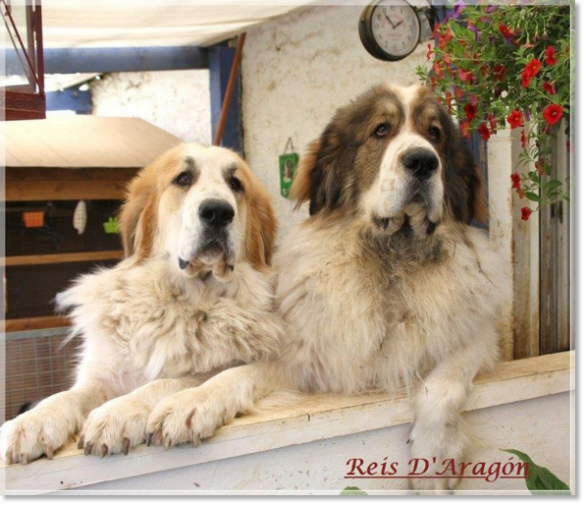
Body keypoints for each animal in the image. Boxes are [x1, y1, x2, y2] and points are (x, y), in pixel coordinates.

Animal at [0, 144, 282, 464]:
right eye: (183, 178)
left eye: (236, 184)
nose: (218, 212)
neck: (184, 301)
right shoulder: (103, 375)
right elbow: (71, 394)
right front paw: (33, 421)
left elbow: (178, 380)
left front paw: (122, 411)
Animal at [124, 85, 506, 492]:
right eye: (381, 130)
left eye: (434, 134)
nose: (422, 161)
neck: (392, 258)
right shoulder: (310, 360)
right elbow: (236, 374)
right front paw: (192, 401)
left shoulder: (477, 339)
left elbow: (443, 384)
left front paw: (433, 461)